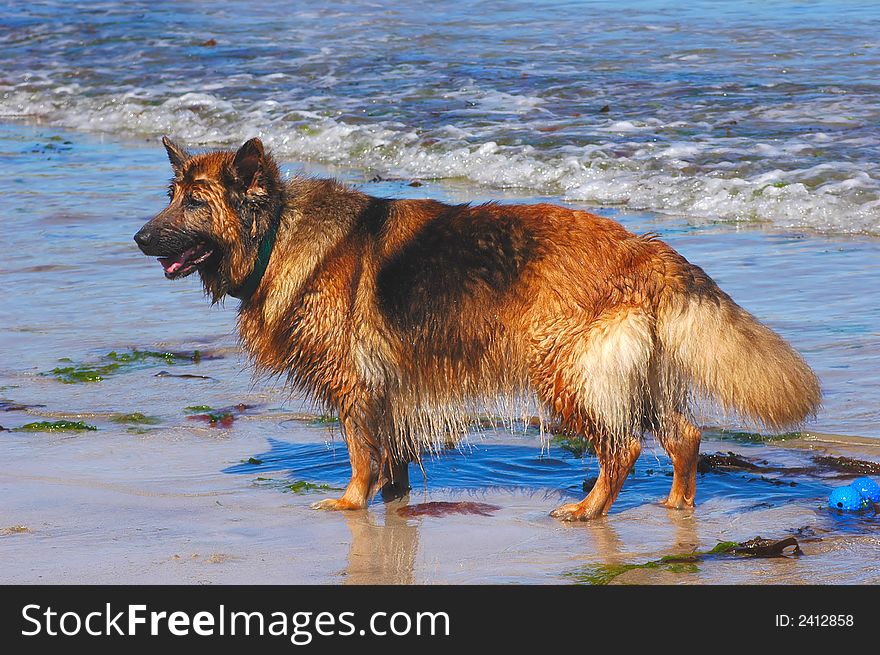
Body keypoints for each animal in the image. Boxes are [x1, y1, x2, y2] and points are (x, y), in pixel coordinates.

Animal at [134, 136, 820, 520]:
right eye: (172, 197)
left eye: (194, 204)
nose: (138, 238)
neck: (276, 232)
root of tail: (646, 250)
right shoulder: (392, 387)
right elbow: (392, 456)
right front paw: (392, 504)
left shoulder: (358, 385)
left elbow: (360, 451)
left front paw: (352, 501)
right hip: (633, 372)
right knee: (683, 434)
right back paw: (677, 506)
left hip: (566, 370)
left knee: (622, 446)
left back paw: (590, 509)